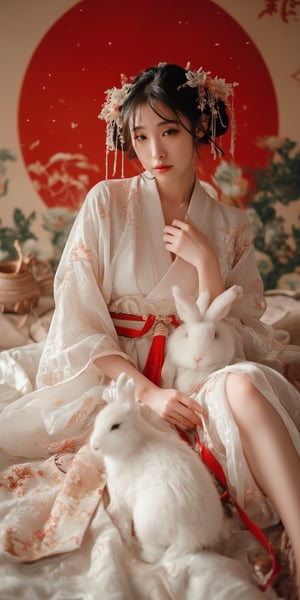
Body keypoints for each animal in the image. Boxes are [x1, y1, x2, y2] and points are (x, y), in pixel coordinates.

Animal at [90, 372, 224, 564]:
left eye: (115, 426)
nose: (94, 446)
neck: (136, 443)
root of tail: (189, 539)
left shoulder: (122, 494)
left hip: (145, 522)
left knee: (154, 554)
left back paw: (137, 551)